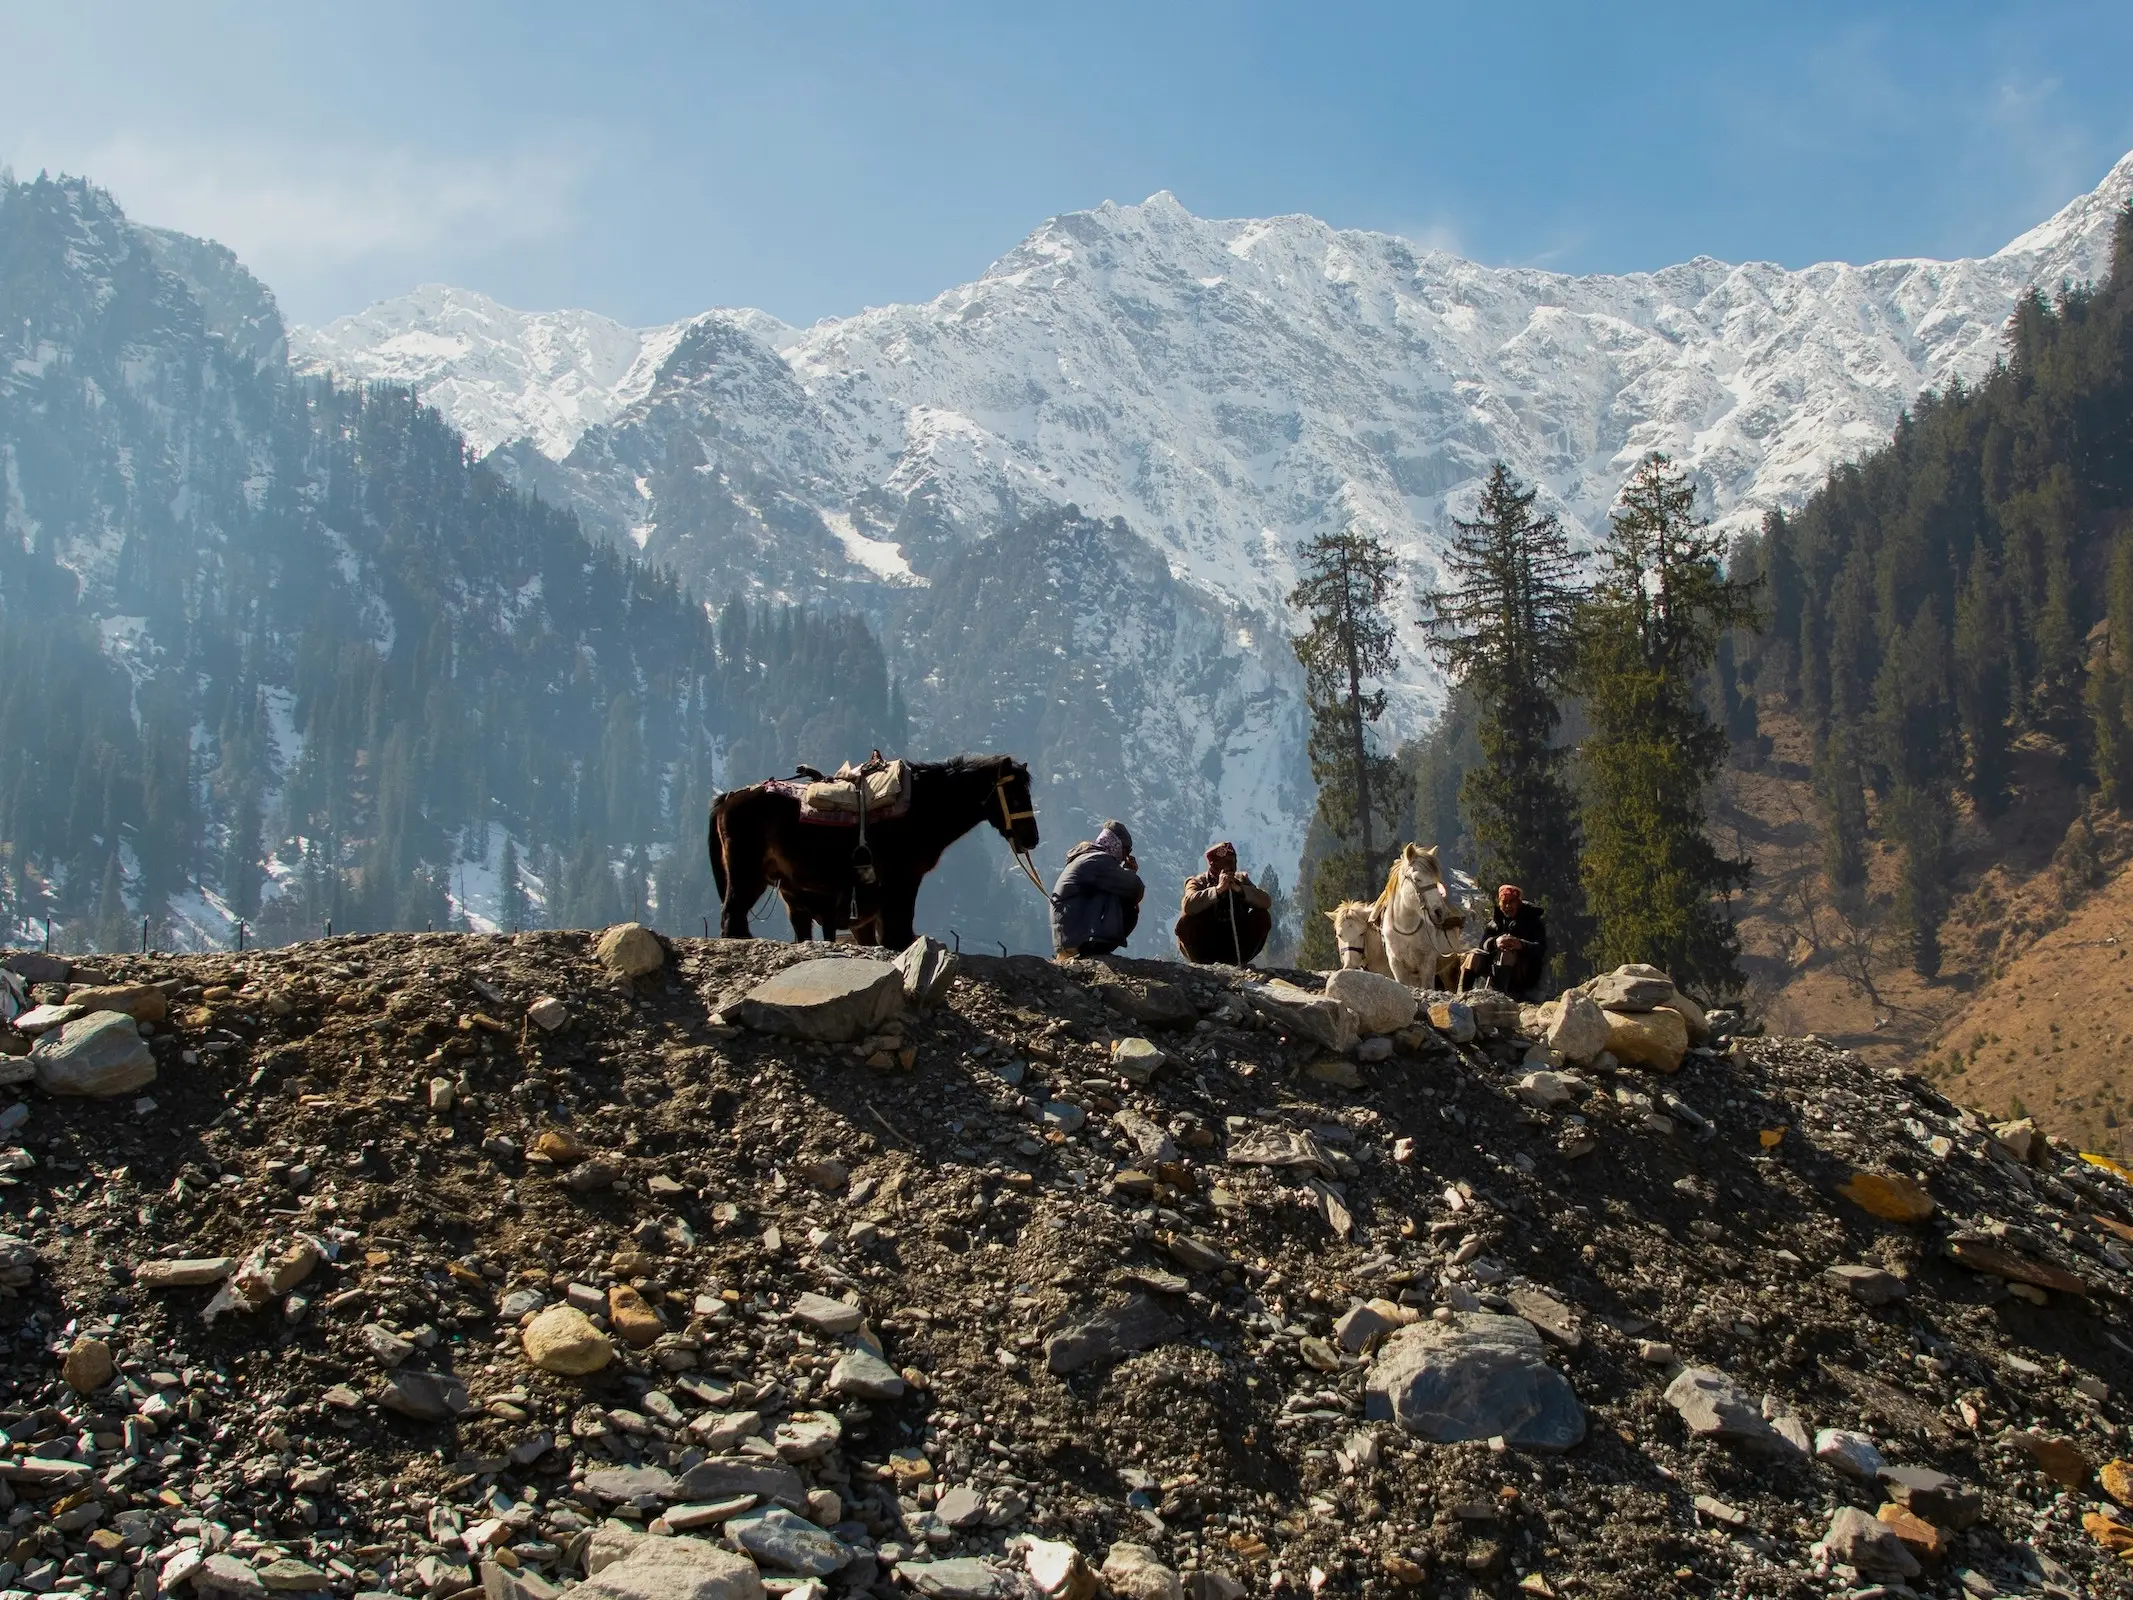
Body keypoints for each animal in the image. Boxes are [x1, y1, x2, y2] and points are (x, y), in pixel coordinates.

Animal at [708, 755, 1040, 947]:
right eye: (1015, 795)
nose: (1032, 839)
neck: (922, 808)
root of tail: (728, 798)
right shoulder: (901, 880)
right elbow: (898, 926)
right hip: (748, 874)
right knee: (732, 915)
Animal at [1365, 853, 1467, 989]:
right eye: (1417, 878)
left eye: (1436, 879)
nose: (1440, 912)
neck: (1406, 929)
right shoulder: (1396, 964)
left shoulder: (1427, 964)